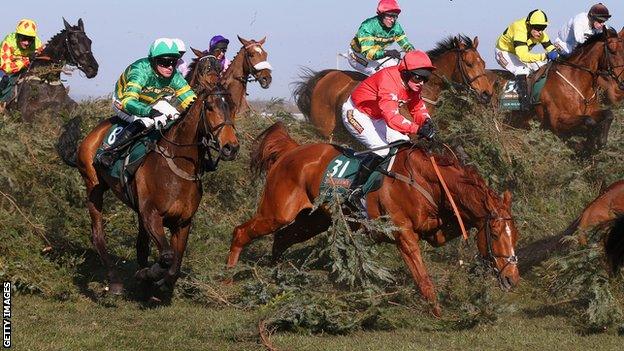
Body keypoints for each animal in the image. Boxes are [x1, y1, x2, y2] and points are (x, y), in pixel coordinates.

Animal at [59, 62, 238, 298]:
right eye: (209, 107)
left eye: (233, 107)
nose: (231, 147)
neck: (177, 166)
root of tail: (94, 133)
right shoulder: (152, 215)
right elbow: (167, 258)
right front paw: (148, 275)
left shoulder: (183, 222)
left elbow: (175, 264)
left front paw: (158, 284)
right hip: (93, 188)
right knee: (98, 235)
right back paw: (115, 281)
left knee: (141, 244)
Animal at [227, 122, 520, 318]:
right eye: (496, 234)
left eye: (514, 235)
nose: (513, 279)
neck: (427, 180)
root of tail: (291, 151)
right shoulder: (403, 235)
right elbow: (423, 278)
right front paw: (436, 311)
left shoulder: (434, 230)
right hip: (277, 212)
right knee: (242, 232)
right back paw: (229, 273)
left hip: (313, 220)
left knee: (282, 238)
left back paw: (275, 276)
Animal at [492, 28, 624, 153]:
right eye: (612, 50)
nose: (622, 83)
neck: (576, 79)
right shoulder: (557, 121)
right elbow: (588, 121)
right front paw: (588, 144)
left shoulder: (591, 111)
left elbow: (609, 114)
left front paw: (601, 141)